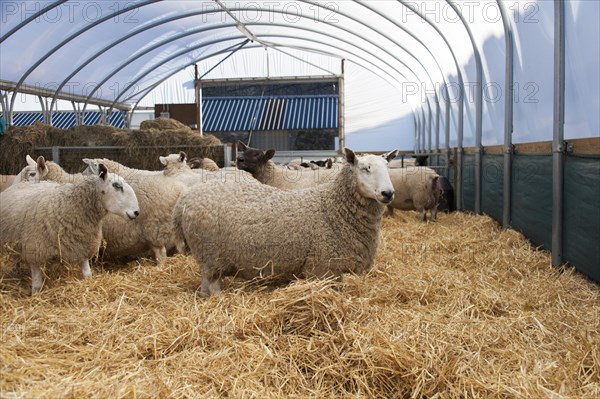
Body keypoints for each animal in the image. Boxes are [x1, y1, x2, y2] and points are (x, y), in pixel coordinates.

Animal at [0, 160, 138, 294]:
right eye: (117, 185)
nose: (137, 212)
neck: (71, 205)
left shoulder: (83, 246)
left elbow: (88, 275)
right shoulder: (34, 251)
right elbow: (37, 286)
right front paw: (35, 296)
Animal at [171, 148, 396, 296]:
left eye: (388, 167)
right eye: (365, 168)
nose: (388, 193)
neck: (332, 207)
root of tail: (183, 201)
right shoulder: (323, 266)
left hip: (206, 257)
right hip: (210, 254)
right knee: (212, 285)